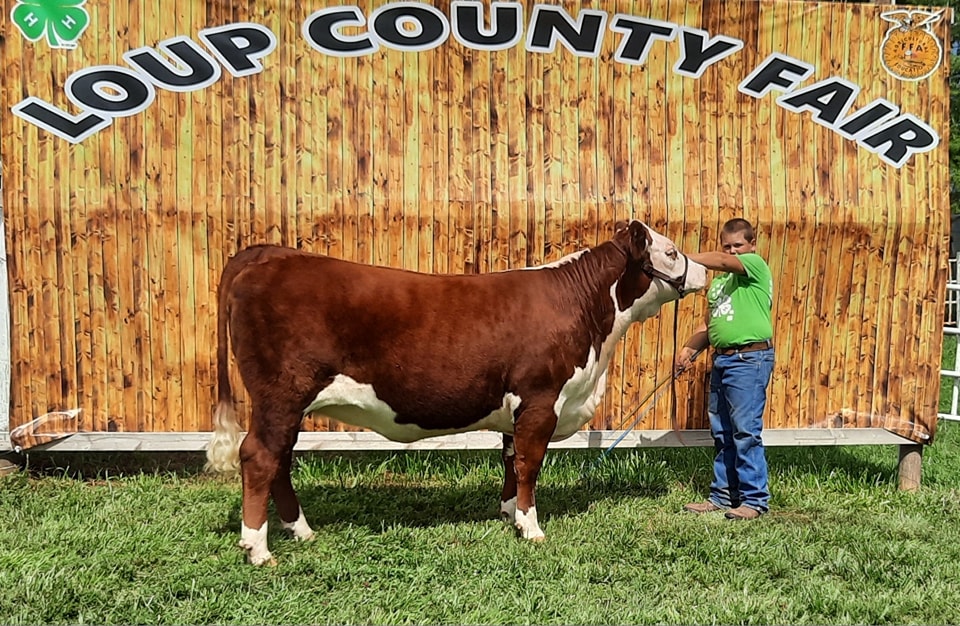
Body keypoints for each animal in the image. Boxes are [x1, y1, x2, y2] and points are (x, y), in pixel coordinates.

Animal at [206, 219, 707, 565]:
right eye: (670, 250)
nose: (702, 270)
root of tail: (270, 254)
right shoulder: (541, 399)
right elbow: (529, 465)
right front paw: (531, 527)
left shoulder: (516, 409)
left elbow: (510, 461)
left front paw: (508, 514)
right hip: (281, 394)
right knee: (260, 457)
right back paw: (258, 548)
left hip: (288, 403)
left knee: (280, 459)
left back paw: (301, 531)